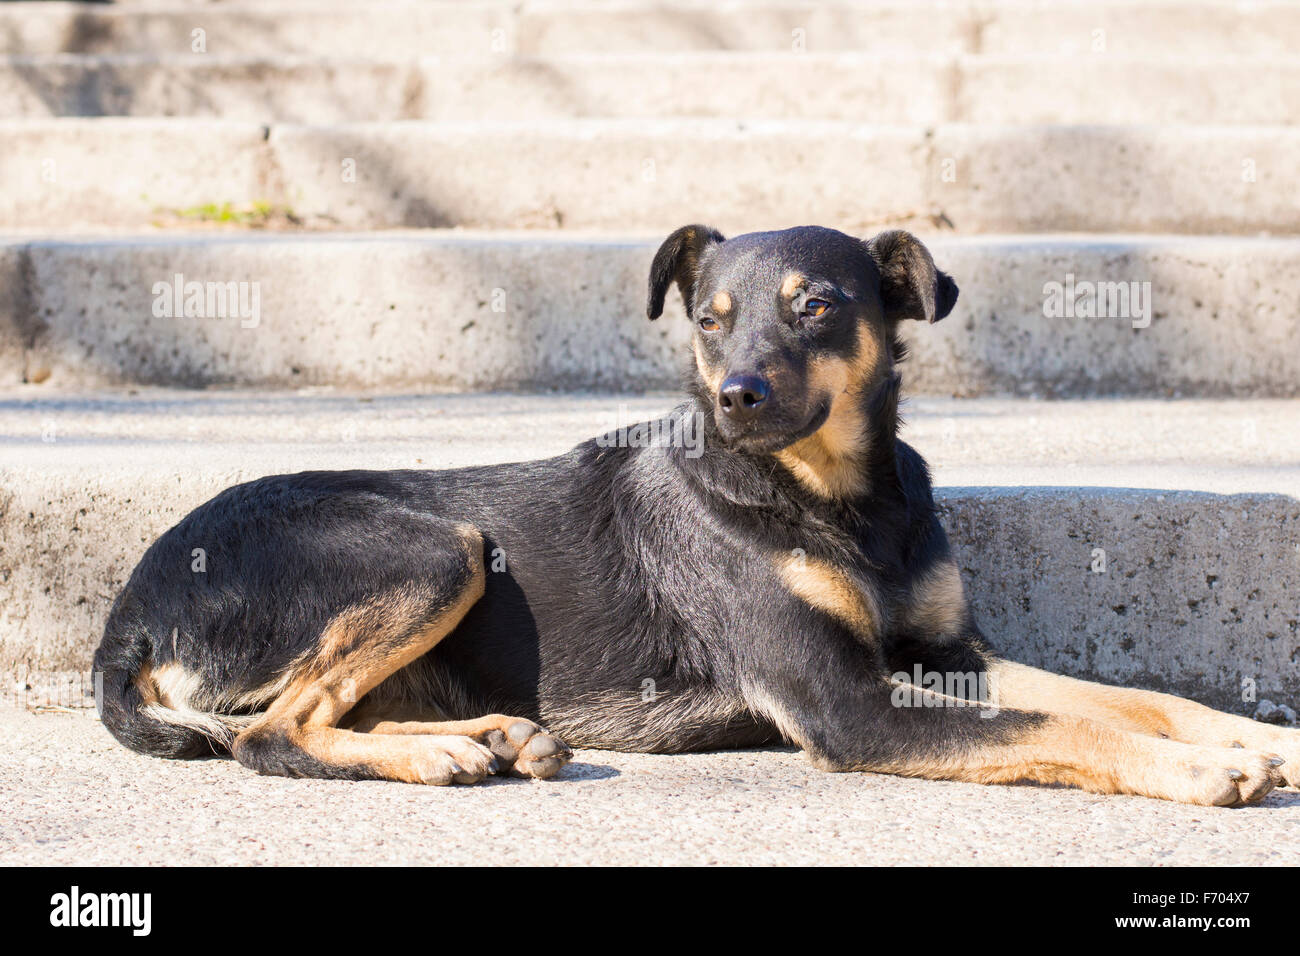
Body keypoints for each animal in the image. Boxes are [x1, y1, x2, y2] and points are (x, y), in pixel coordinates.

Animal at [94, 227, 1300, 806]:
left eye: (817, 307)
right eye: (709, 321)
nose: (737, 398)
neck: (836, 496)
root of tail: (129, 616)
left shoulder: (947, 651)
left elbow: (1128, 696)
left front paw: (1254, 735)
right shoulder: (848, 706)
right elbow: (1056, 725)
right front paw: (1201, 772)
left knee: (308, 712)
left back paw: (488, 736)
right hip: (439, 547)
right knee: (270, 731)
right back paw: (443, 757)